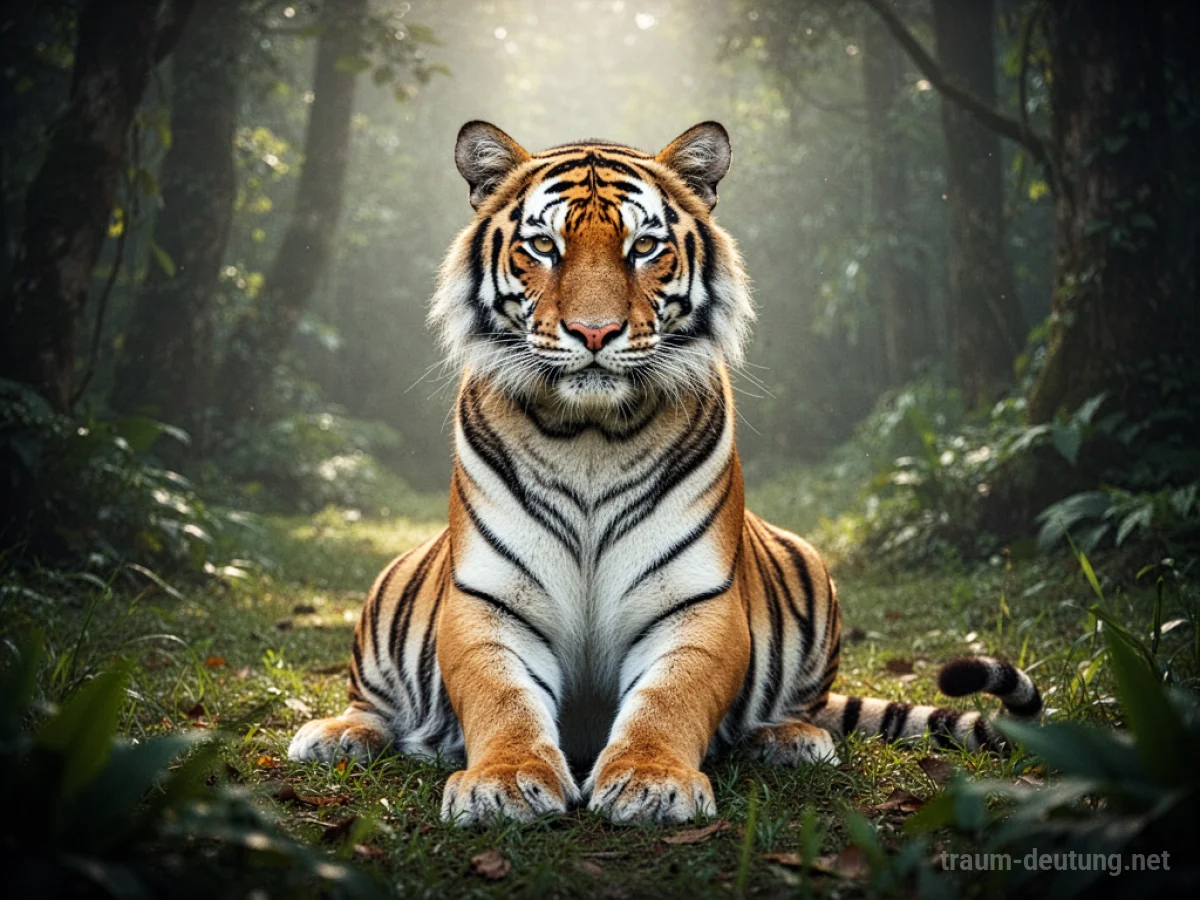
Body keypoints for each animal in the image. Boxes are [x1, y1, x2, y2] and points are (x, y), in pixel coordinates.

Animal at [287, 121, 1043, 826]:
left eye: (644, 247)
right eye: (544, 247)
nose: (594, 333)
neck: (588, 436)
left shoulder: (695, 599)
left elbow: (668, 699)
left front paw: (651, 783)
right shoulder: (489, 599)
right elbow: (503, 698)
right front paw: (503, 784)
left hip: (812, 570)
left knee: (808, 704)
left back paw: (789, 738)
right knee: (370, 703)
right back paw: (333, 735)